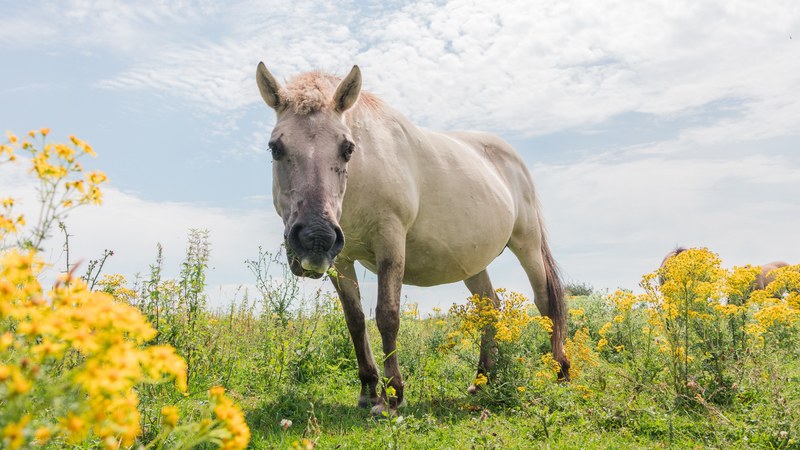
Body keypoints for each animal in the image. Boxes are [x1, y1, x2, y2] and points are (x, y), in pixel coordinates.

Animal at [255, 63, 569, 415]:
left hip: (527, 244)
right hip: (474, 265)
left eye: (347, 148)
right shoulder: (342, 261)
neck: (362, 177)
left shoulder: (390, 242)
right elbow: (355, 320)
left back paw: (558, 371)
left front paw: (393, 396)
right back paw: (484, 379)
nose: (316, 238)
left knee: (545, 301)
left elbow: (387, 316)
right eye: (276, 147)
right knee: (489, 308)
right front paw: (368, 392)